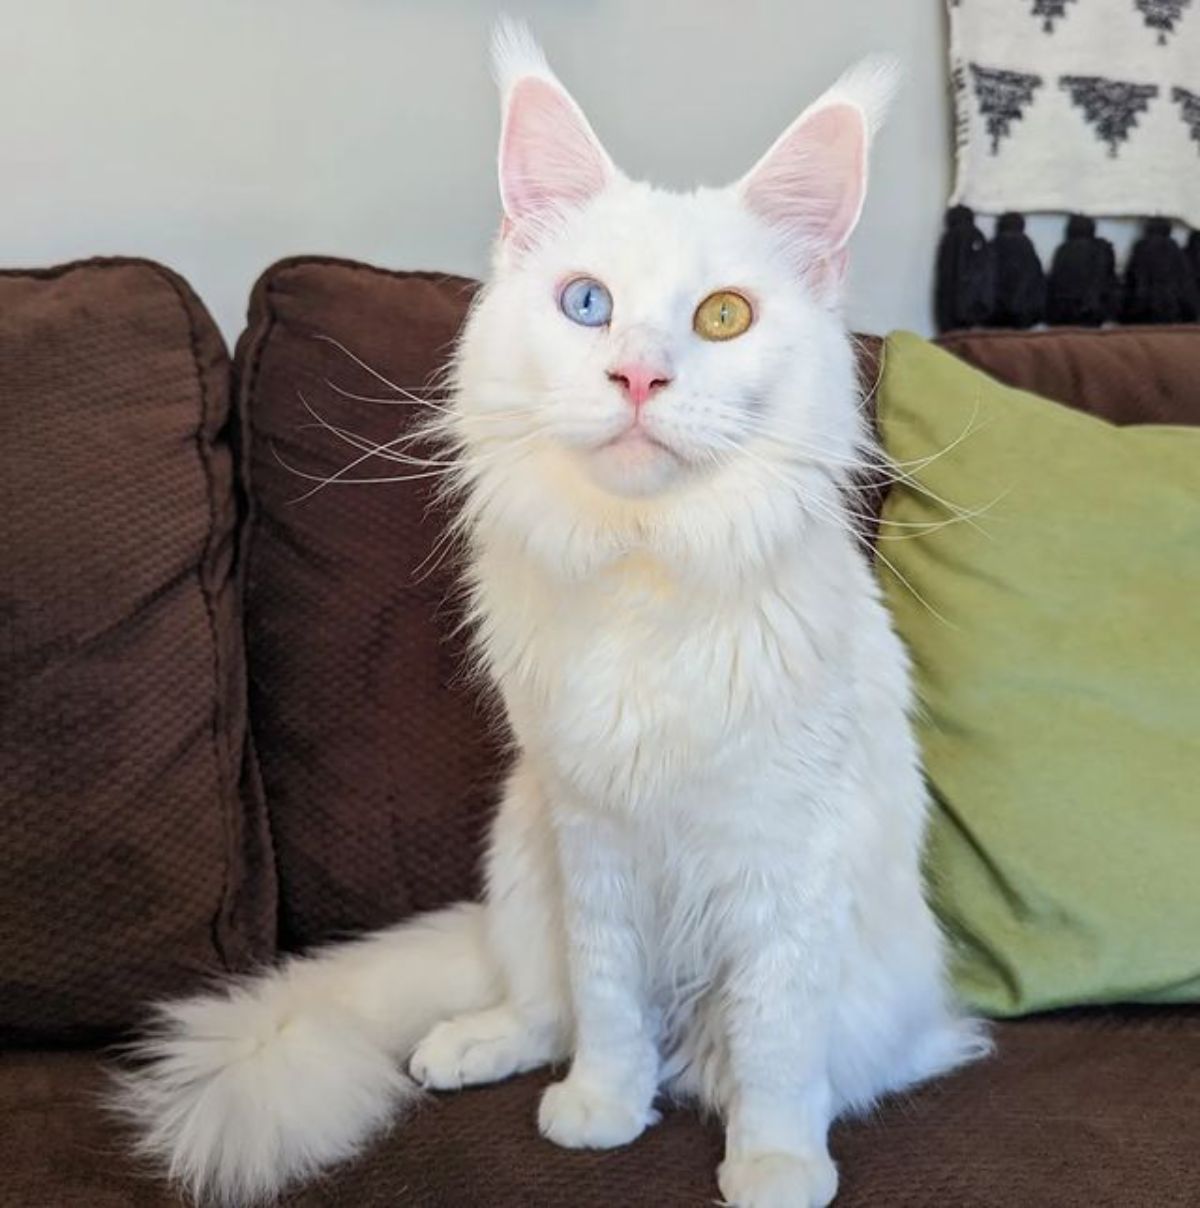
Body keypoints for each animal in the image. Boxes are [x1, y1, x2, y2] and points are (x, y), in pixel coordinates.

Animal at [117, 21, 986, 1208]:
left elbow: (771, 1039)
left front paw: (772, 1164)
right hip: (525, 854)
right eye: (587, 305)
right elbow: (610, 1008)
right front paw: (602, 1114)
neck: (643, 572)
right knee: (544, 1005)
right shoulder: (596, 845)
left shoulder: (782, 864)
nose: (639, 378)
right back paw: (466, 1047)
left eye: (723, 318)